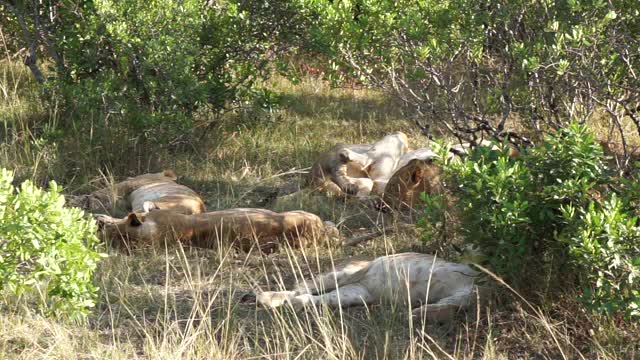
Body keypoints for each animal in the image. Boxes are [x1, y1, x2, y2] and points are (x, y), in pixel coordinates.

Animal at [255, 252, 484, 322]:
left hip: (354, 294)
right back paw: (267, 297)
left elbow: (455, 303)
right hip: (345, 273)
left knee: (315, 298)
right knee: (301, 287)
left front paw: (420, 313)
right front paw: (418, 314)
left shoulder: (463, 293)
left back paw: (292, 304)